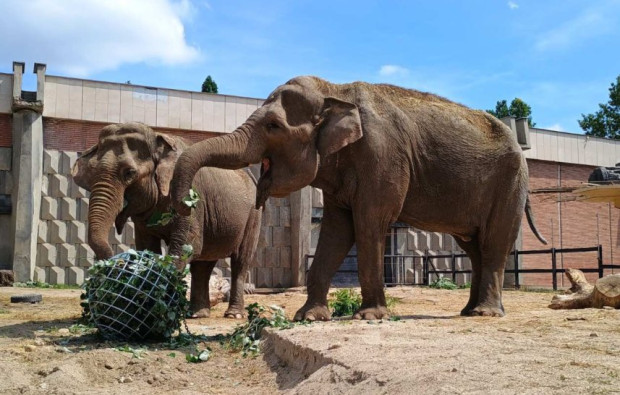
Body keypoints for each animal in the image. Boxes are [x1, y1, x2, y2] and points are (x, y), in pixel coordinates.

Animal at [72, 122, 262, 320]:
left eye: (129, 173)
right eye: (91, 173)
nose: (116, 265)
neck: (157, 138)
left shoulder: (191, 196)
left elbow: (183, 246)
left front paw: (155, 308)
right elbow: (148, 247)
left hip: (253, 215)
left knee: (240, 261)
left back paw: (233, 315)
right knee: (203, 263)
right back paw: (196, 314)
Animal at [170, 76, 548, 322]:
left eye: (274, 126)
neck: (335, 92)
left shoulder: (382, 157)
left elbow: (368, 225)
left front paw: (369, 316)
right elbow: (336, 231)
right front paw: (308, 317)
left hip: (510, 183)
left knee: (494, 242)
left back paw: (485, 313)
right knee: (473, 246)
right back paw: (469, 311)